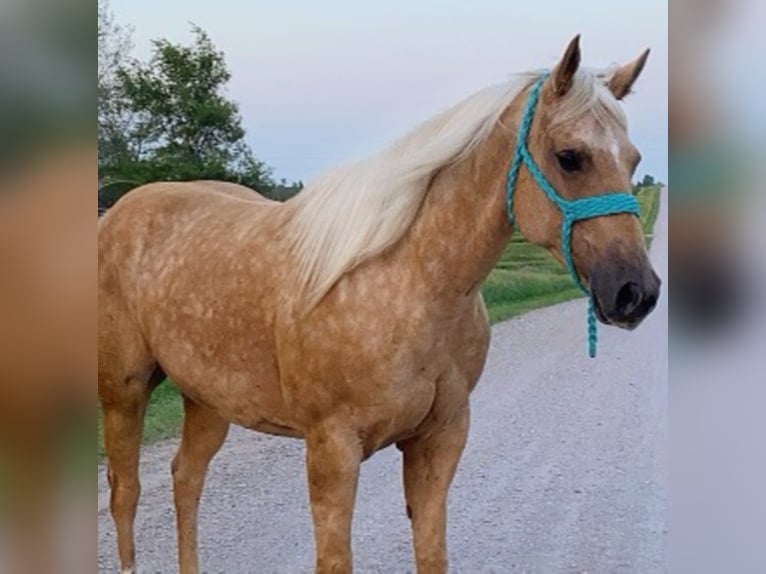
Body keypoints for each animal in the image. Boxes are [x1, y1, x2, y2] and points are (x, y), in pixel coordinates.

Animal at [99, 37, 664, 574]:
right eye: (570, 156)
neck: (409, 284)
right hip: (125, 392)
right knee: (125, 493)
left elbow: (432, 555)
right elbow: (334, 561)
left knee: (186, 479)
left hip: (208, 400)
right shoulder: (332, 451)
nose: (636, 292)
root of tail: (119, 212)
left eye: (634, 160)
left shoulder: (439, 441)